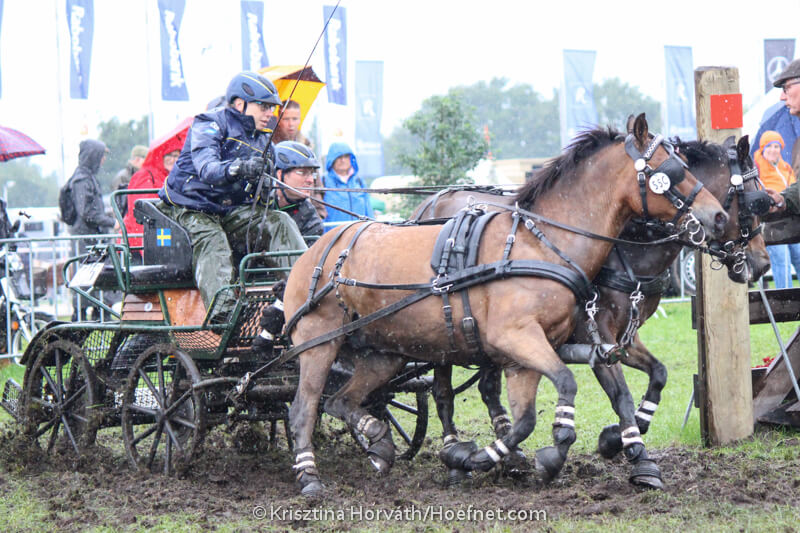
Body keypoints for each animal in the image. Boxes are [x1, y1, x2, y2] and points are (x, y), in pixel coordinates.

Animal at [282, 114, 729, 497]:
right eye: (670, 170)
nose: (718, 216)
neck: (542, 243)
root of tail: (317, 250)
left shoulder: (528, 357)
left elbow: (529, 416)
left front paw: (486, 458)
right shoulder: (519, 338)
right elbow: (567, 383)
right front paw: (519, 454)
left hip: (384, 352)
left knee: (343, 401)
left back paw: (379, 443)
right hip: (319, 344)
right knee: (305, 408)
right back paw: (309, 477)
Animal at [411, 134, 771, 488]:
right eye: (755, 201)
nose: (762, 264)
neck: (625, 245)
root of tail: (429, 204)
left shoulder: (624, 337)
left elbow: (658, 373)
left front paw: (618, 436)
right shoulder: (594, 332)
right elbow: (620, 393)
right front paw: (637, 456)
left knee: (488, 388)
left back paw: (507, 455)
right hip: (446, 334)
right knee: (442, 391)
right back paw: (455, 454)